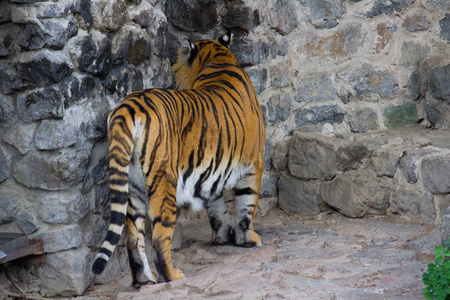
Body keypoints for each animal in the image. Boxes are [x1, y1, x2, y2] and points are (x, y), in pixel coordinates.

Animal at [92, 31, 266, 288]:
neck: (218, 59)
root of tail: (127, 106)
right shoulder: (254, 162)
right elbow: (247, 205)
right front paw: (249, 239)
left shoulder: (212, 169)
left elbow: (216, 206)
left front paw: (222, 235)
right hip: (164, 182)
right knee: (159, 237)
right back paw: (172, 276)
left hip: (133, 186)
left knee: (134, 236)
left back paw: (144, 279)